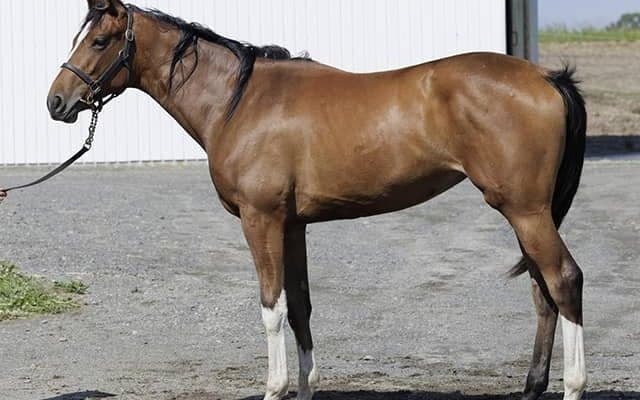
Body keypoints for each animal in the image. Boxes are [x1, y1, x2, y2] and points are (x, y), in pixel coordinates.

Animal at [47, 1, 588, 399]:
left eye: (98, 41)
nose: (56, 102)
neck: (239, 102)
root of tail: (548, 78)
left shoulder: (260, 221)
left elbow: (272, 306)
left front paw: (276, 387)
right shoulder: (293, 225)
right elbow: (301, 306)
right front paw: (305, 387)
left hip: (525, 211)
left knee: (564, 281)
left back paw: (574, 385)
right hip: (527, 215)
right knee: (542, 290)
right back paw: (532, 387)